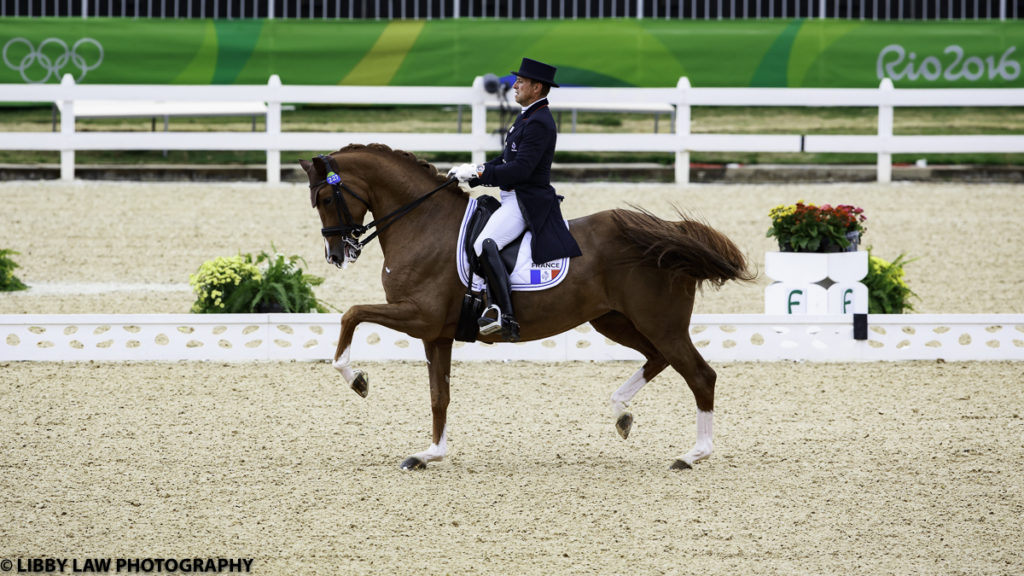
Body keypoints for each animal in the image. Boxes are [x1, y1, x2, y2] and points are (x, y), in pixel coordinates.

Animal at [296, 142, 753, 467]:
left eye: (326, 199)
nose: (337, 254)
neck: (422, 223)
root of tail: (664, 230)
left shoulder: (419, 317)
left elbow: (351, 314)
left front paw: (356, 380)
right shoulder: (436, 333)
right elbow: (439, 395)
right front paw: (431, 453)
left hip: (660, 322)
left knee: (700, 375)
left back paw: (692, 455)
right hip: (615, 320)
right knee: (658, 359)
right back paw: (622, 414)